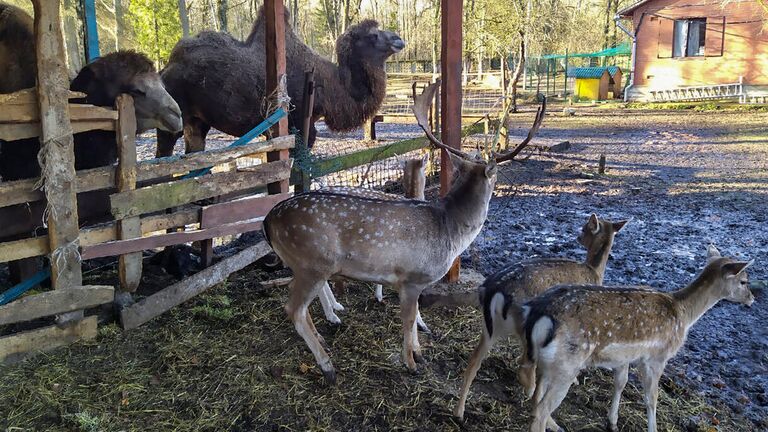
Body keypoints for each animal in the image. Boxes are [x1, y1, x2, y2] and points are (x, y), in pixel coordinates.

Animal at [158, 7, 404, 155]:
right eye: (373, 35)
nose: (398, 39)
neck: (331, 86)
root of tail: (166, 68)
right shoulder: (297, 126)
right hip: (173, 117)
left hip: (197, 121)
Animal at [262, 82, 544, 384]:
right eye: (496, 176)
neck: (450, 230)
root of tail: (268, 221)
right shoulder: (411, 277)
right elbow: (408, 320)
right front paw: (411, 362)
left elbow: (416, 315)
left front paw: (419, 353)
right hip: (312, 261)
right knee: (294, 309)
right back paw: (328, 367)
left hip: (305, 265)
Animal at [452, 214, 628, 420]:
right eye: (584, 227)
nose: (578, 237)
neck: (595, 272)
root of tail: (493, 290)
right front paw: (574, 379)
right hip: (525, 327)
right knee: (524, 365)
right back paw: (531, 391)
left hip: (490, 328)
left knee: (473, 362)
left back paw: (459, 412)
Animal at [508, 246, 752, 432]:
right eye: (744, 281)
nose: (752, 299)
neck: (683, 314)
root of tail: (537, 313)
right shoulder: (657, 357)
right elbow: (651, 398)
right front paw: (652, 428)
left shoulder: (624, 357)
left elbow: (621, 383)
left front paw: (612, 422)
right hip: (566, 365)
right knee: (540, 409)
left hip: (547, 362)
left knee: (535, 396)